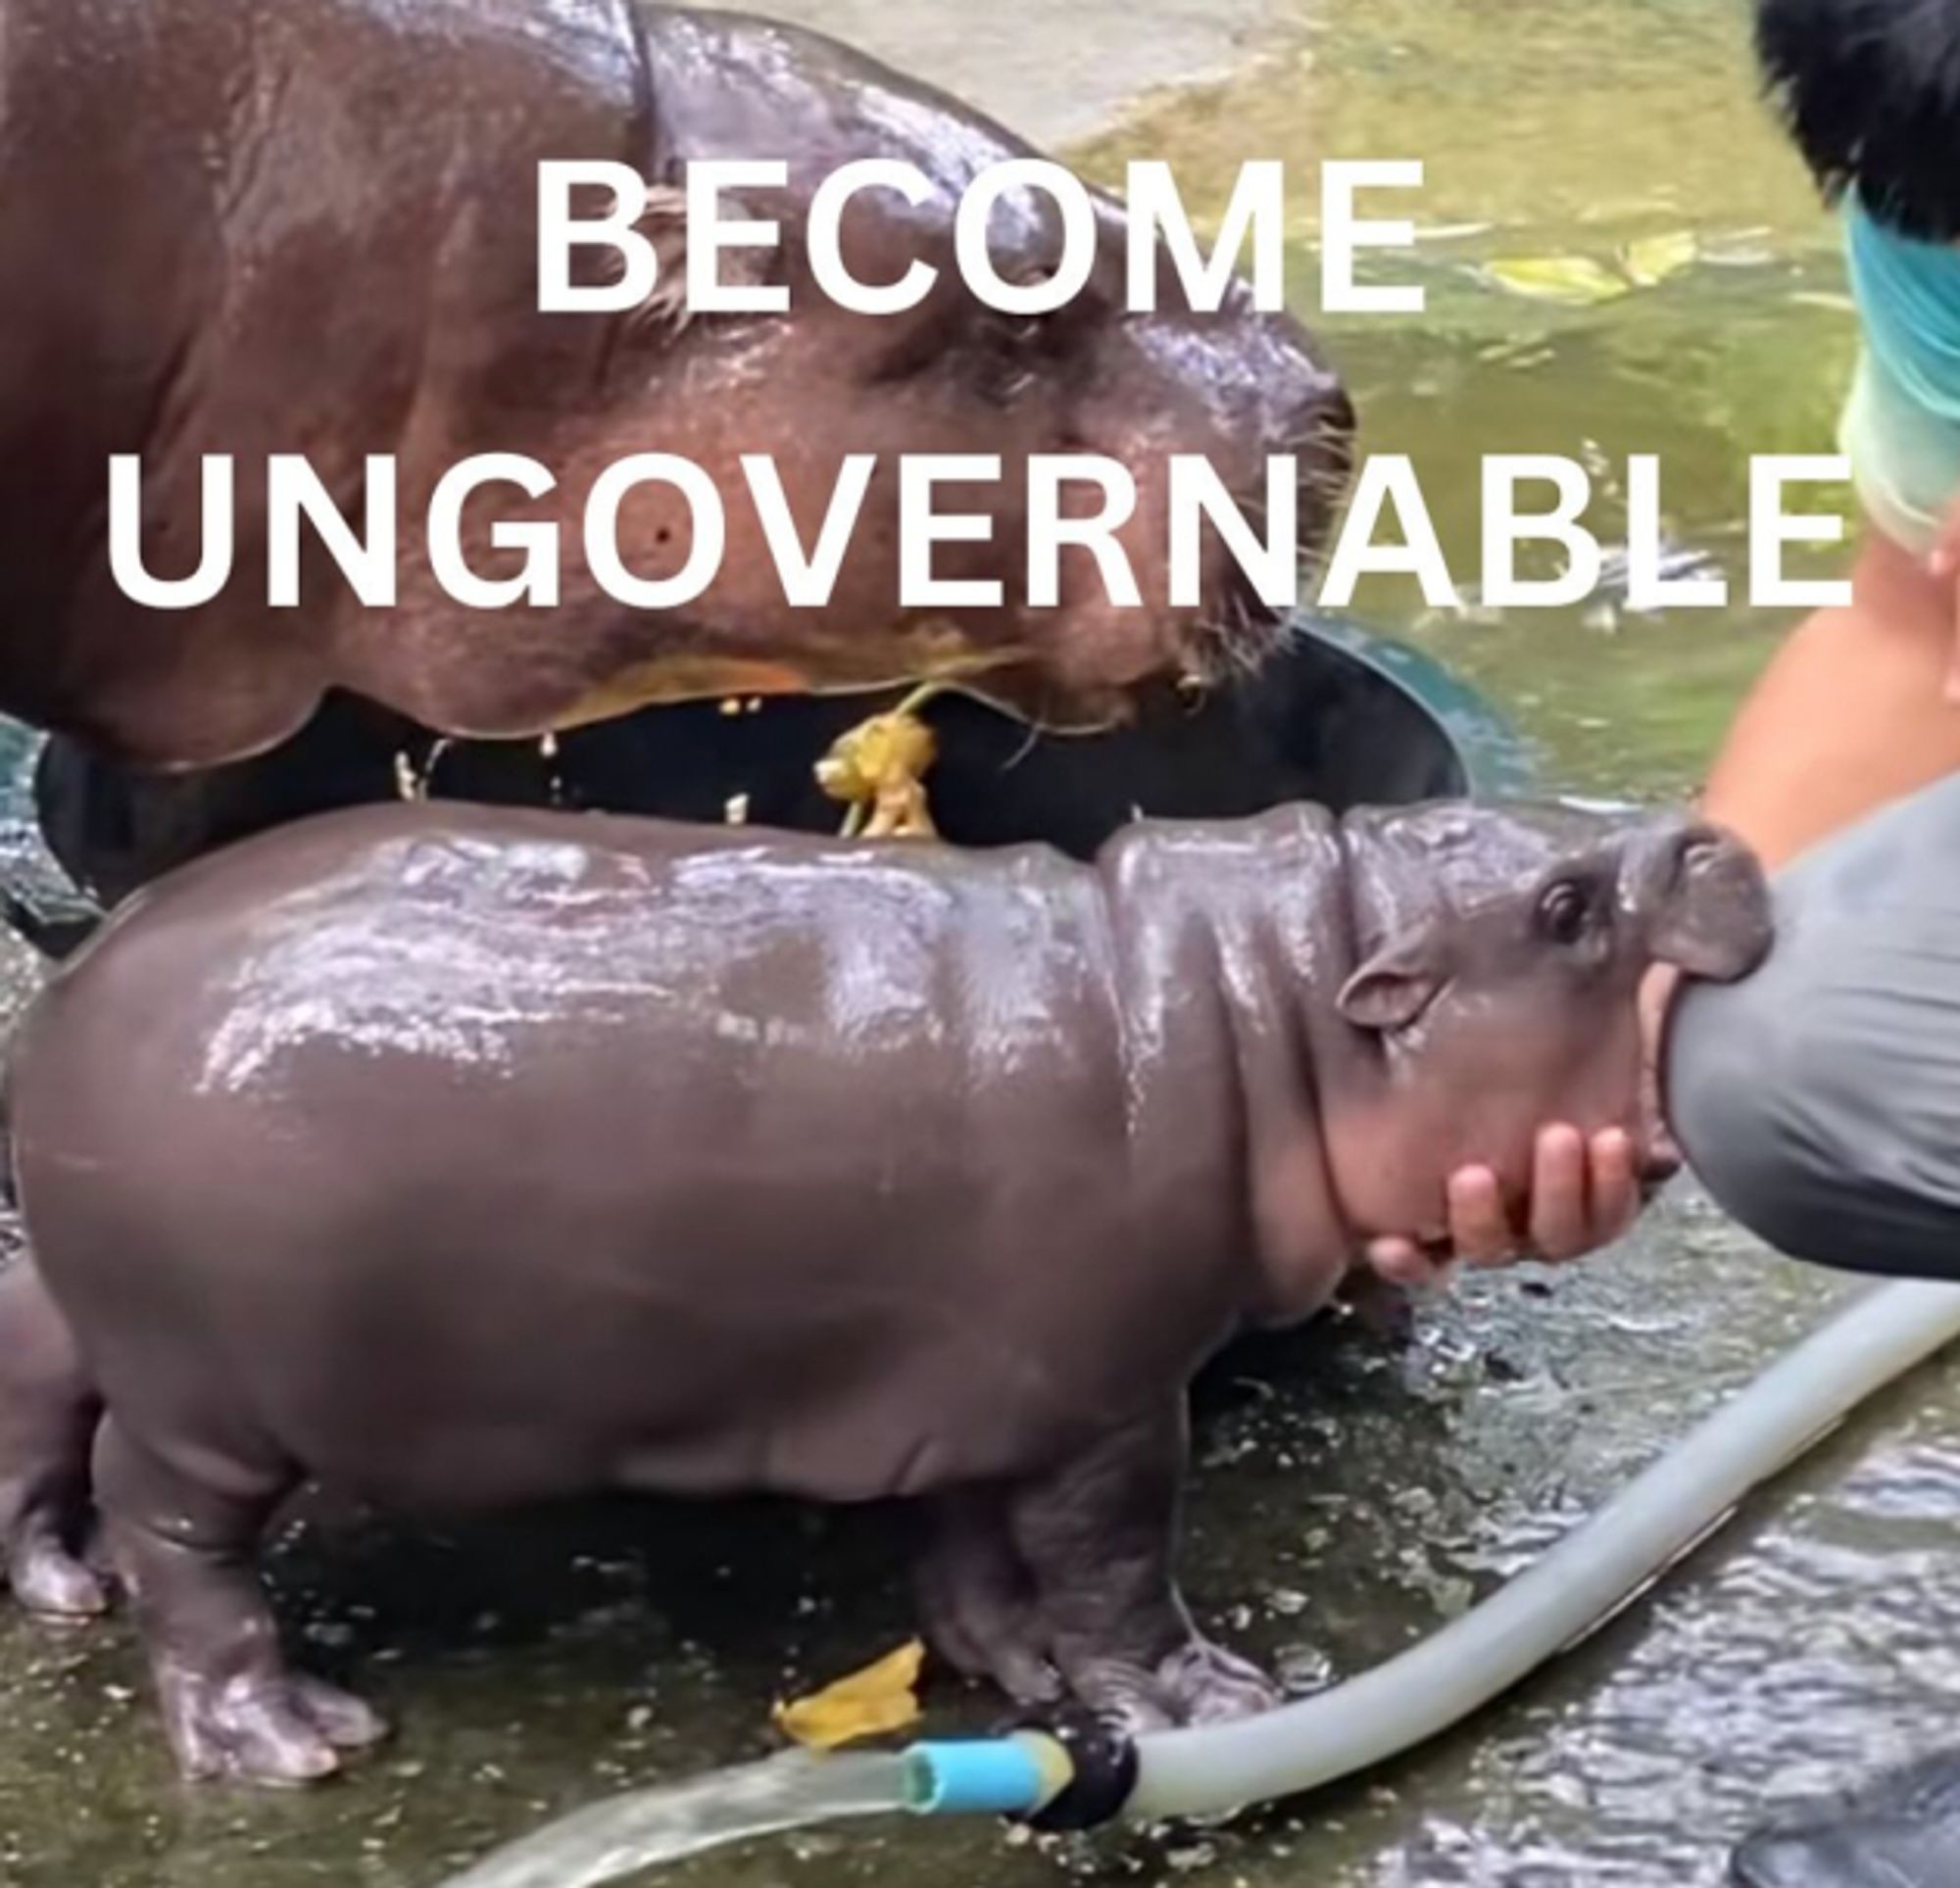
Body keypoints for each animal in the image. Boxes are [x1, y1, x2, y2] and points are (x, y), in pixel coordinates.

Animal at [0, 795, 1780, 1786]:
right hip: (211, 1402)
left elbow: (978, 1550)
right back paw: (291, 1736)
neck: (1260, 998)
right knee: (176, 1539)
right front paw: (1207, 1695)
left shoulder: (999, 1376)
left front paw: (1021, 1672)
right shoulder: (1111, 1398)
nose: (1717, 833)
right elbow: (1114, 1564)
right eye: (1560, 907)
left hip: (89, 1317)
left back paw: (58, 1584)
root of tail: (69, 993)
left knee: (41, 1404)